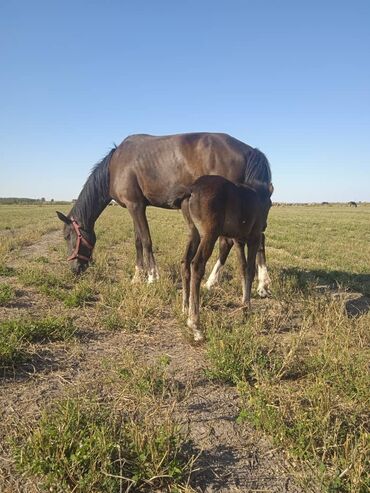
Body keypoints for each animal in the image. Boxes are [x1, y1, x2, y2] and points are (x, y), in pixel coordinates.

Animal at [57, 131, 272, 294]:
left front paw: (152, 277)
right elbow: (137, 241)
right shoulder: (134, 207)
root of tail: (250, 150)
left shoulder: (136, 206)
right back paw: (260, 284)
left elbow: (146, 240)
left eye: (68, 236)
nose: (74, 269)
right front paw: (137, 277)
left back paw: (214, 281)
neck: (116, 165)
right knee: (257, 237)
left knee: (229, 242)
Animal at [181, 176, 274, 342]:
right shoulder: (254, 238)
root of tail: (192, 189)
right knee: (197, 265)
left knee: (185, 263)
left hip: (193, 233)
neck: (256, 196)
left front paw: (244, 305)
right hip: (210, 234)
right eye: (270, 204)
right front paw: (247, 308)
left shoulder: (238, 240)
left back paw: (185, 308)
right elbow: (250, 270)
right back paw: (195, 324)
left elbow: (243, 268)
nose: (265, 225)